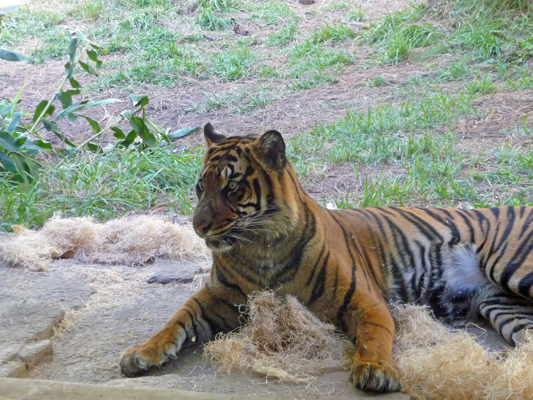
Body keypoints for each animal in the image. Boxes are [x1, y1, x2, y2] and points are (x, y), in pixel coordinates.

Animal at [119, 123, 532, 392]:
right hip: (505, 307)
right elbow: (176, 320)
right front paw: (142, 353)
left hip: (511, 269)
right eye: (200, 187)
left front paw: (376, 370)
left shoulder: (367, 302)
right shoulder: (216, 297)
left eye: (232, 186)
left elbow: (373, 337)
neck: (258, 248)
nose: (197, 227)